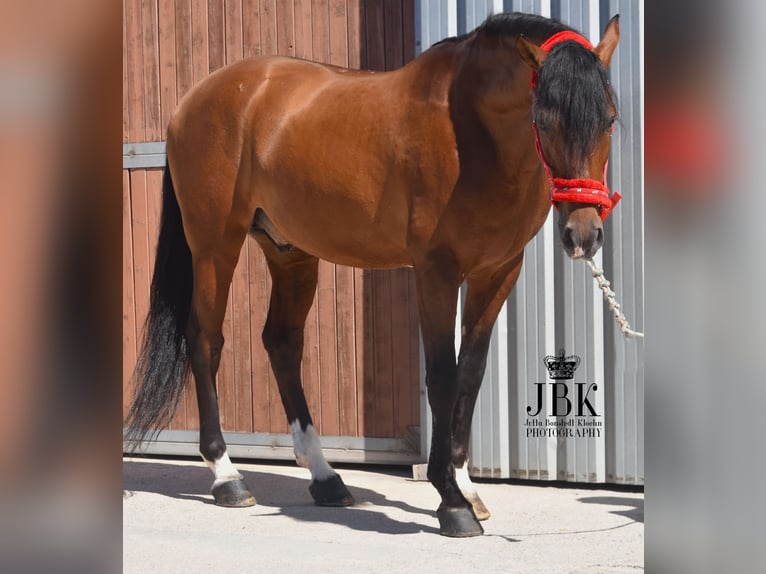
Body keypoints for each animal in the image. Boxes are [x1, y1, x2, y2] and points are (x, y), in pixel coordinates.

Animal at [127, 12, 624, 540]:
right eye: (543, 120)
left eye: (610, 119)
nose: (583, 234)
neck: (469, 131)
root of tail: (193, 100)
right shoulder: (436, 270)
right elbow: (442, 376)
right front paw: (450, 501)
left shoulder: (498, 272)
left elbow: (470, 375)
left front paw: (467, 487)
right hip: (214, 245)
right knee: (206, 342)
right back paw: (227, 477)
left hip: (290, 253)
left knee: (281, 343)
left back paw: (325, 477)